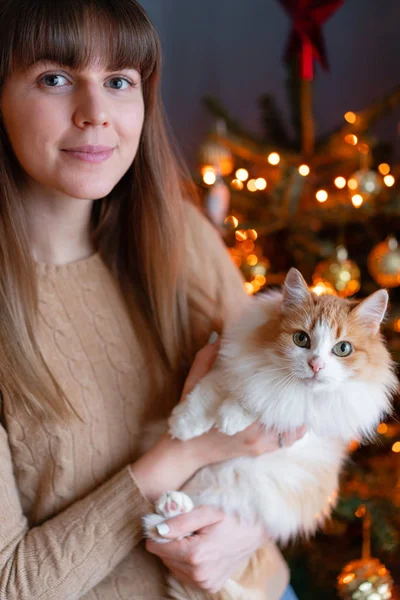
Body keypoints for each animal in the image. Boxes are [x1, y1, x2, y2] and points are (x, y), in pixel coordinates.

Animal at [143, 268, 396, 600]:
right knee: (165, 529)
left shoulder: (303, 418)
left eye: (343, 349)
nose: (315, 365)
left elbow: (264, 403)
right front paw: (184, 426)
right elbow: (208, 391)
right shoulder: (229, 365)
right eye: (301, 339)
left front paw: (230, 417)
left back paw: (173, 507)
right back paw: (171, 505)